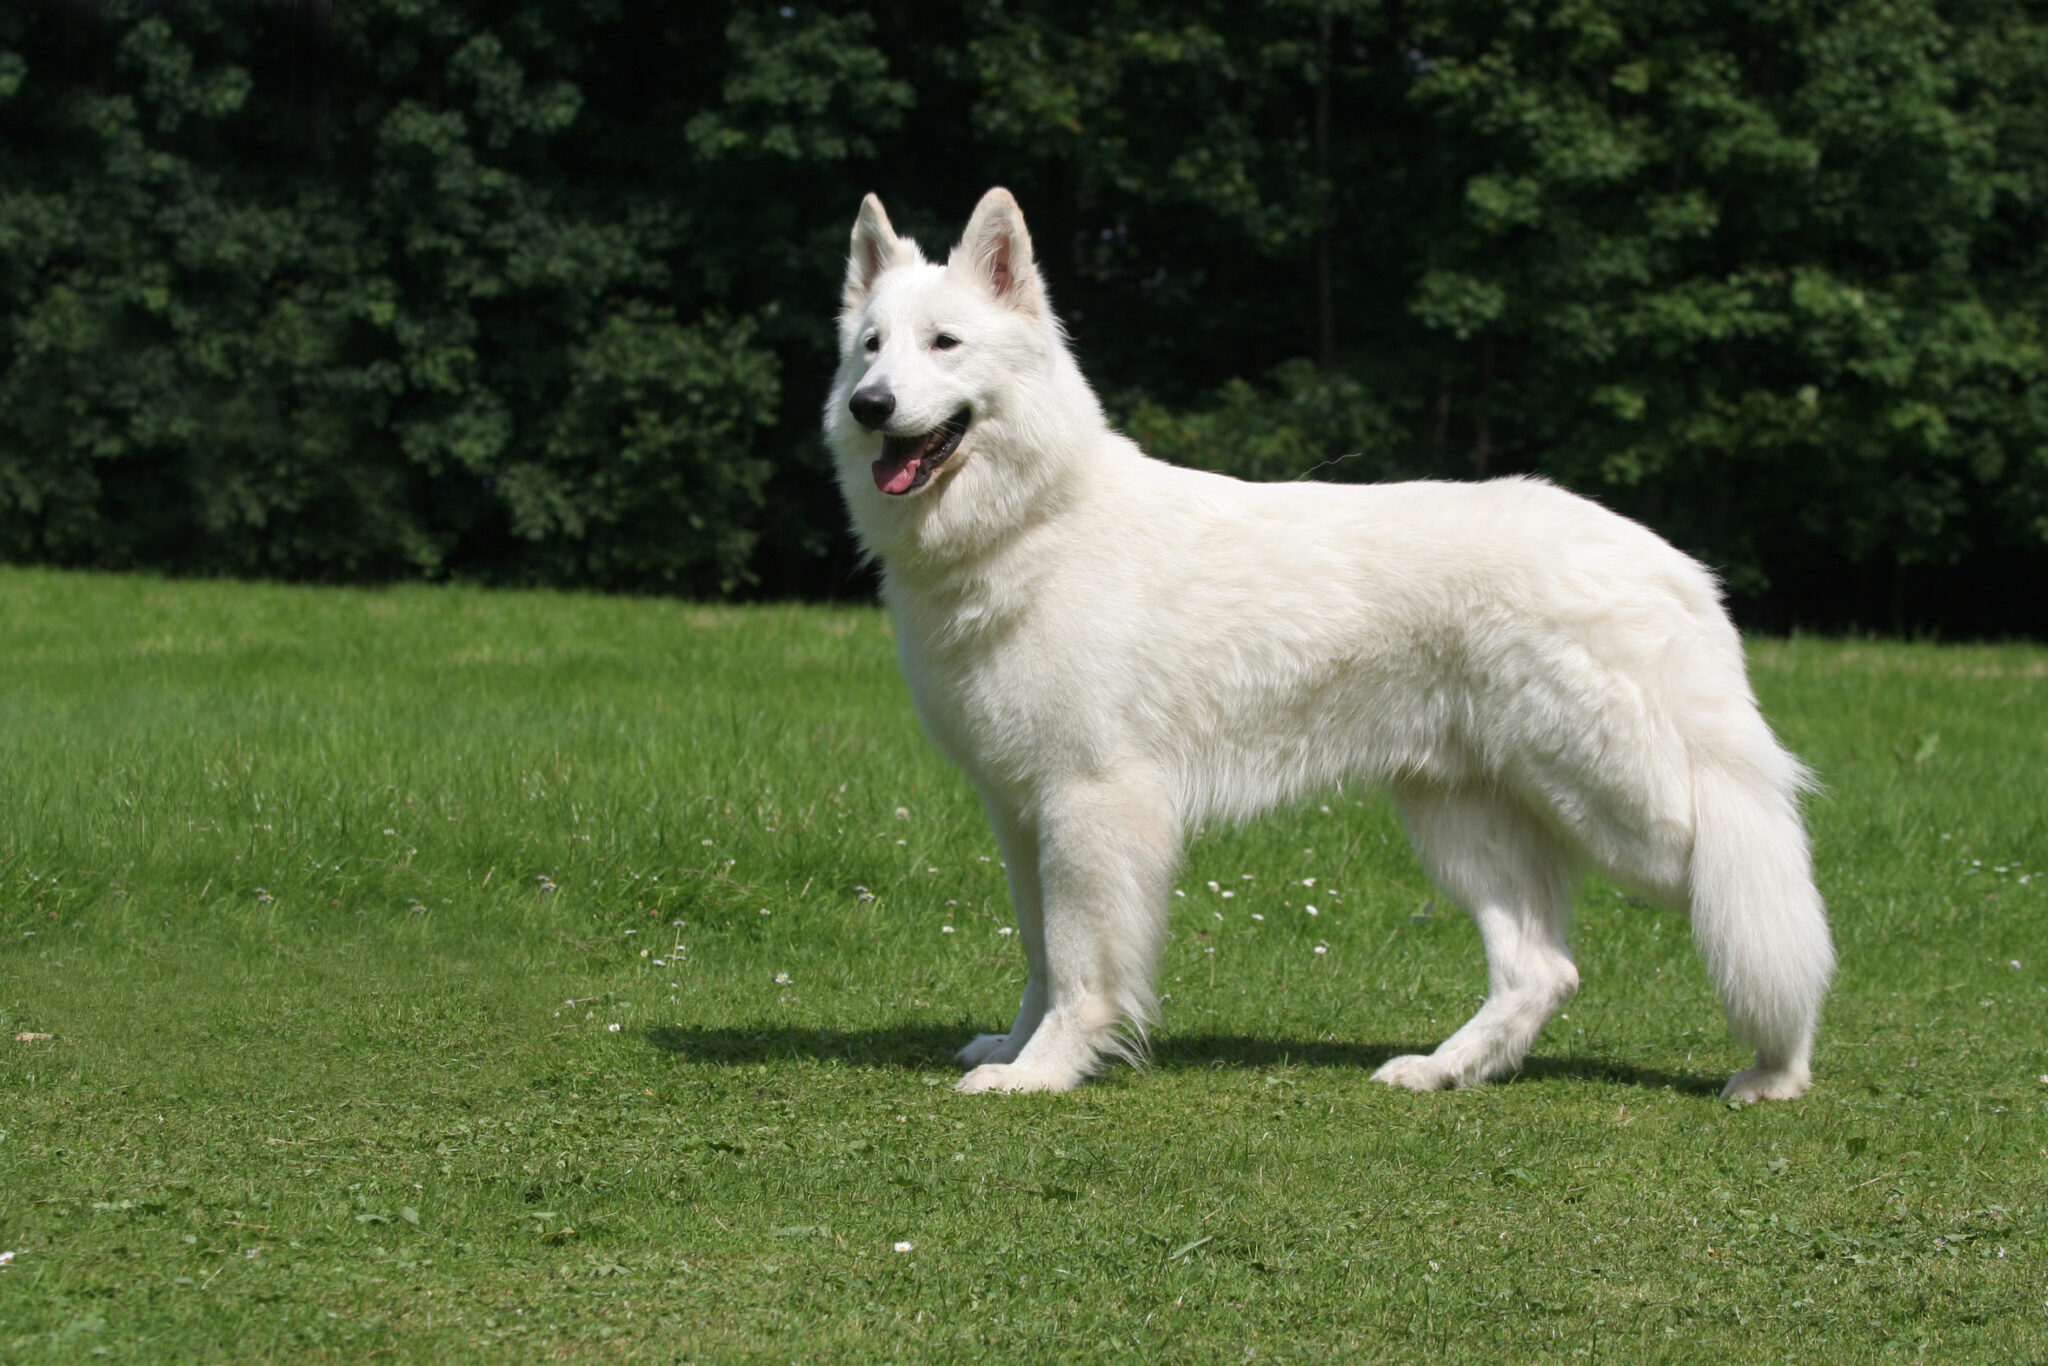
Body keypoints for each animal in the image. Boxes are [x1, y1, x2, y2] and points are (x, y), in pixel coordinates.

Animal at [823, 187, 1835, 1097]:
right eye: (871, 346)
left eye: (945, 344)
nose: (871, 405)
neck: (1035, 519)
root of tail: (1673, 566)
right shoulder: (1019, 809)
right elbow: (1038, 953)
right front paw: (1014, 1045)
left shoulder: (1091, 803)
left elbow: (1078, 966)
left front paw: (1041, 1072)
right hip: (1462, 823)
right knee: (1542, 971)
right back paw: (1442, 1071)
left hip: (1641, 821)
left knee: (1750, 898)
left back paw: (1776, 1070)